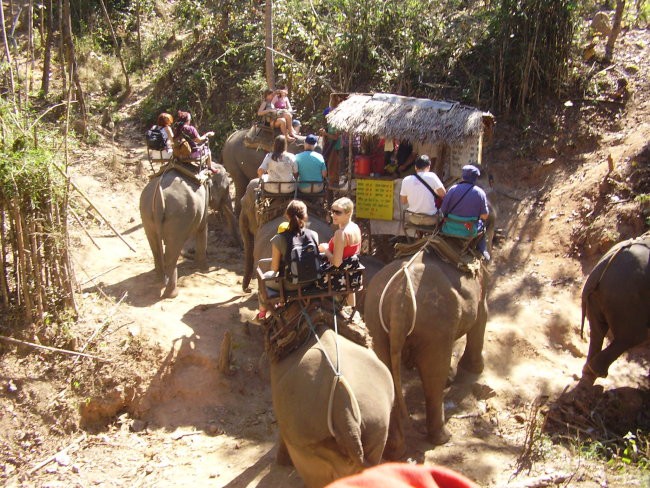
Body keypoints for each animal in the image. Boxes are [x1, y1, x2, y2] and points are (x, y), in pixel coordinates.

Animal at [139, 164, 238, 298]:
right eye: (226, 188)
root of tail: (159, 200)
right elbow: (202, 228)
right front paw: (204, 269)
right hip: (178, 216)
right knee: (172, 252)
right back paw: (172, 293)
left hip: (146, 212)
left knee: (155, 248)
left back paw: (160, 283)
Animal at [362, 231, 494, 460]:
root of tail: (399, 299)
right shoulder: (480, 287)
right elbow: (481, 317)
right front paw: (474, 370)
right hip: (434, 324)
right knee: (434, 375)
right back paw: (443, 438)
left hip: (375, 321)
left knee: (386, 371)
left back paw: (395, 452)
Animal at [576, 230, 648, 386]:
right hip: (627, 301)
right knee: (633, 337)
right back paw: (597, 372)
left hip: (601, 298)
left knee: (597, 331)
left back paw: (588, 372)